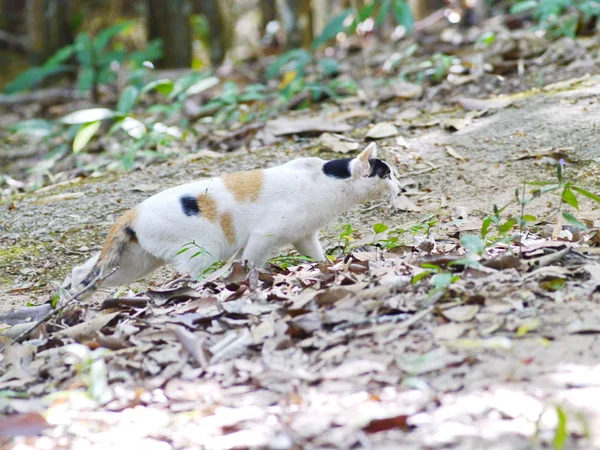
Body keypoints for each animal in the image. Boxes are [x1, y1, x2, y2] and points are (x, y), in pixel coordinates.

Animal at [71, 142, 398, 296]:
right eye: (388, 174)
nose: (401, 186)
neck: (324, 180)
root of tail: (131, 212)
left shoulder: (304, 236)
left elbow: (317, 257)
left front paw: (329, 267)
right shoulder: (263, 236)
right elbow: (251, 262)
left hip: (132, 263)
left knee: (81, 272)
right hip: (202, 251)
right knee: (191, 277)